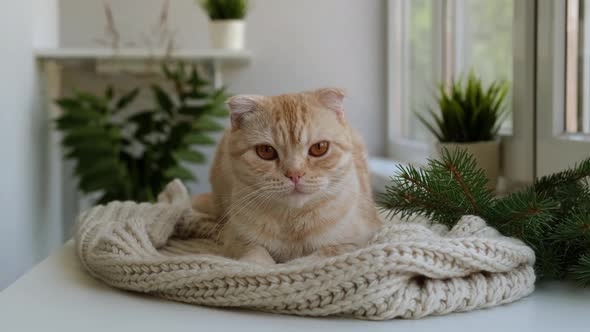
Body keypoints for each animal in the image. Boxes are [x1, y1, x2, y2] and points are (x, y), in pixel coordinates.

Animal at [192, 88, 382, 264]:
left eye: (319, 147)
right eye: (266, 151)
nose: (294, 174)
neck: (292, 222)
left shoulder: (357, 241)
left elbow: (321, 255)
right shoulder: (233, 238)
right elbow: (255, 252)